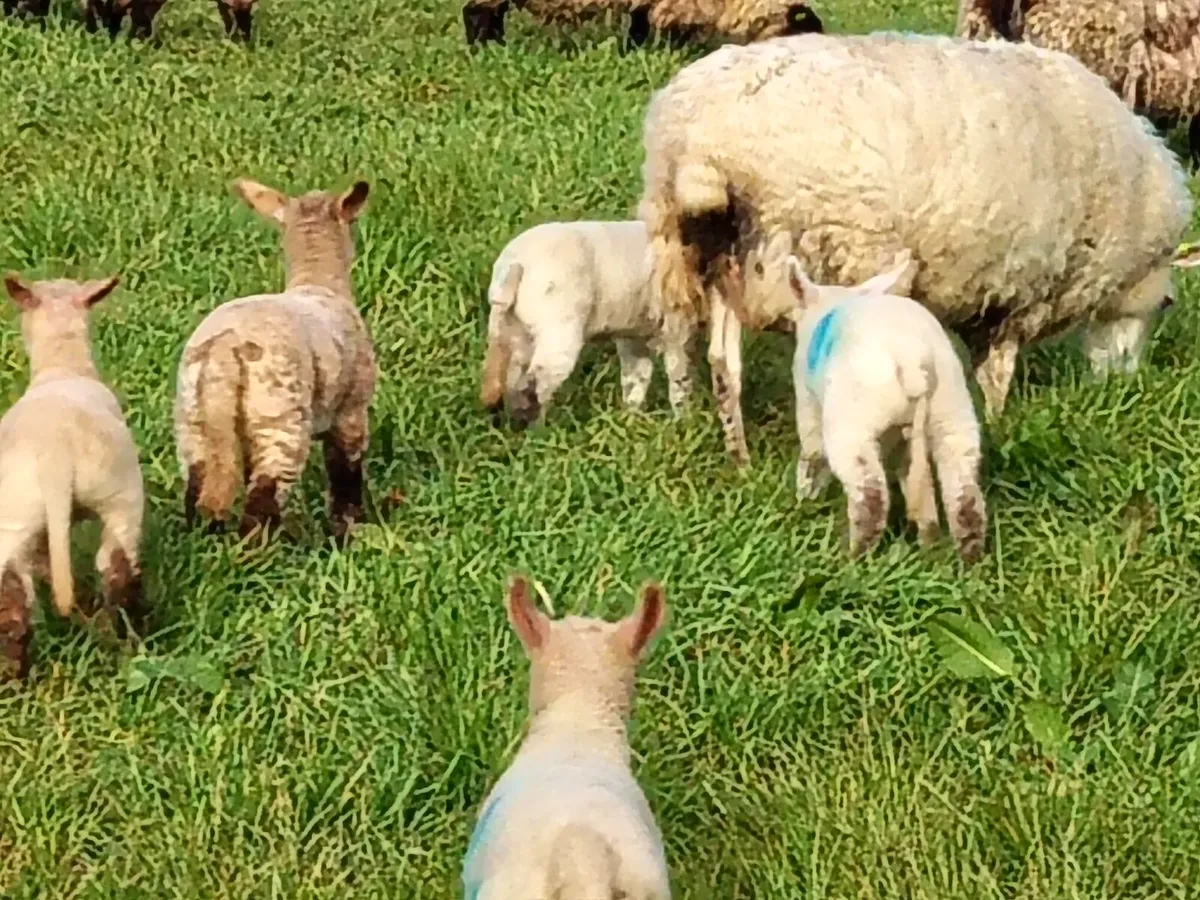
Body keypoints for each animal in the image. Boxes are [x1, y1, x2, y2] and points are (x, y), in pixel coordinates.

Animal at [0, 274, 146, 681]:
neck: (63, 365)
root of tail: (57, 454)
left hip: (15, 515)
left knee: (14, 598)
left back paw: (15, 677)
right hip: (120, 497)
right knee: (117, 570)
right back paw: (129, 643)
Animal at [174, 178, 376, 543]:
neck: (318, 280)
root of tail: (224, 348)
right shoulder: (352, 410)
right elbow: (346, 473)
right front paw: (350, 527)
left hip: (193, 419)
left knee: (201, 491)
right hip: (278, 416)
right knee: (261, 502)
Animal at [479, 220, 672, 428]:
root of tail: (515, 264)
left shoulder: (633, 335)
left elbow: (637, 378)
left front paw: (631, 419)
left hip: (511, 329)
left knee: (510, 380)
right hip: (558, 328)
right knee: (537, 381)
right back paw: (538, 430)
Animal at [638, 32, 1195, 467]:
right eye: (1165, 306)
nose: (1124, 389)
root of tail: (703, 145)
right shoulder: (1020, 287)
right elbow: (997, 373)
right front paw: (998, 425)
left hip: (703, 257)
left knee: (712, 359)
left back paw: (732, 453)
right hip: (820, 256)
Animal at [784, 253, 987, 561]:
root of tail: (913, 357)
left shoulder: (808, 406)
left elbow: (812, 457)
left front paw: (805, 504)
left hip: (853, 421)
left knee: (870, 497)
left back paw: (853, 559)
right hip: (952, 409)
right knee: (963, 494)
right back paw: (963, 559)